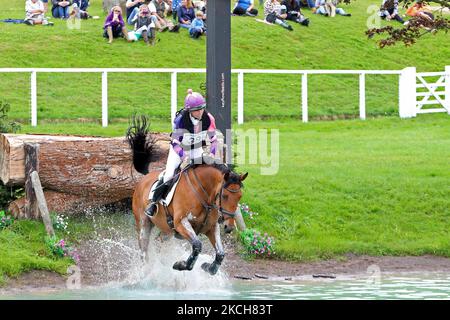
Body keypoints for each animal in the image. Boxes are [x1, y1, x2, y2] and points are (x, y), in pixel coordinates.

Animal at [125, 115, 248, 276]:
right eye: (225, 196)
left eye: (239, 197)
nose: (229, 227)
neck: (204, 195)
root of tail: (144, 178)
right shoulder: (181, 223)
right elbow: (197, 245)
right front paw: (181, 265)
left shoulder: (211, 227)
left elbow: (220, 253)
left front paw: (208, 267)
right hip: (144, 224)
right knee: (144, 251)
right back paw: (147, 270)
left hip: (167, 230)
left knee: (159, 242)